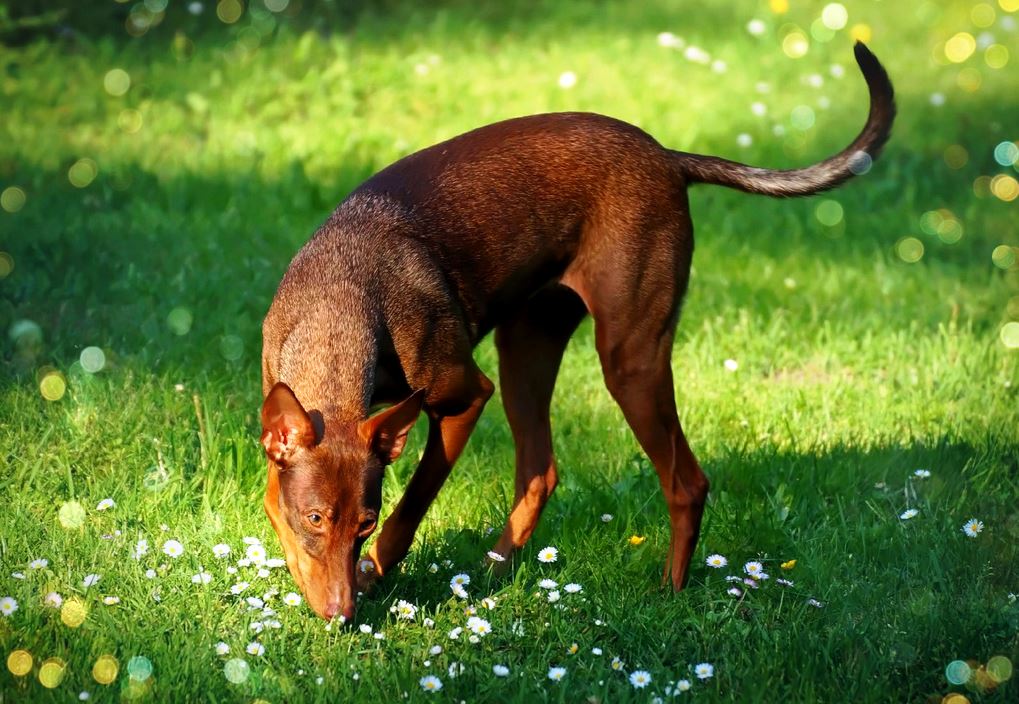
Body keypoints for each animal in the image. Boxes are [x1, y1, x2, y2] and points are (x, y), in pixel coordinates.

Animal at [260, 41, 892, 619]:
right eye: (316, 518)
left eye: (364, 522)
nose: (341, 615)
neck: (341, 304)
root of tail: (666, 155)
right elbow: (274, 496)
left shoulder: (464, 397)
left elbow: (411, 504)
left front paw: (374, 569)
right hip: (526, 347)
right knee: (541, 471)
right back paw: (493, 574)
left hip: (628, 359)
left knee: (686, 482)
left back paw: (668, 595)